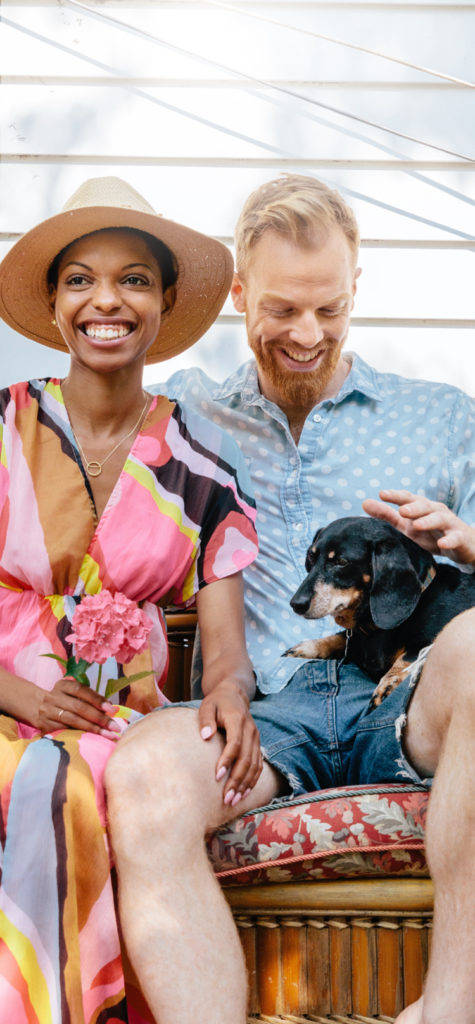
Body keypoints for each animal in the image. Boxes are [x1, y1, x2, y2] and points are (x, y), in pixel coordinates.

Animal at [286, 516, 475, 708]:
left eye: (341, 562)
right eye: (311, 556)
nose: (296, 604)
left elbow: (411, 655)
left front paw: (388, 683)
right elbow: (340, 638)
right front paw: (308, 647)